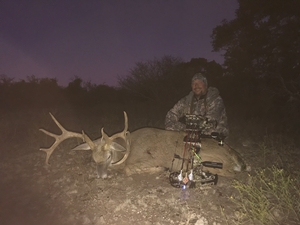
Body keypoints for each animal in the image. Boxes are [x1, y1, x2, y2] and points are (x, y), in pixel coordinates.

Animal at [40, 111, 246, 178]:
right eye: (92, 158)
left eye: (109, 155)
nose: (101, 176)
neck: (127, 151)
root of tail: (235, 156)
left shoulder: (147, 159)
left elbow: (129, 170)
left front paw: (159, 170)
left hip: (209, 159)